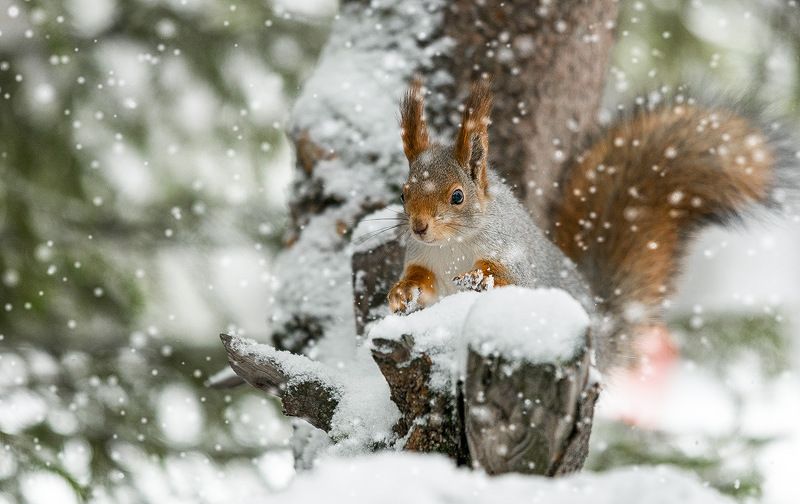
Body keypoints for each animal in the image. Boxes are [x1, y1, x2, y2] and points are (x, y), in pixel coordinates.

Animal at [387, 78, 796, 369]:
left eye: (457, 196)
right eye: (404, 194)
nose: (419, 227)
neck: (451, 246)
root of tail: (599, 327)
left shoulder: (516, 254)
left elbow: (509, 277)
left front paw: (477, 277)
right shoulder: (422, 258)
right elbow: (421, 281)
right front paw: (400, 294)